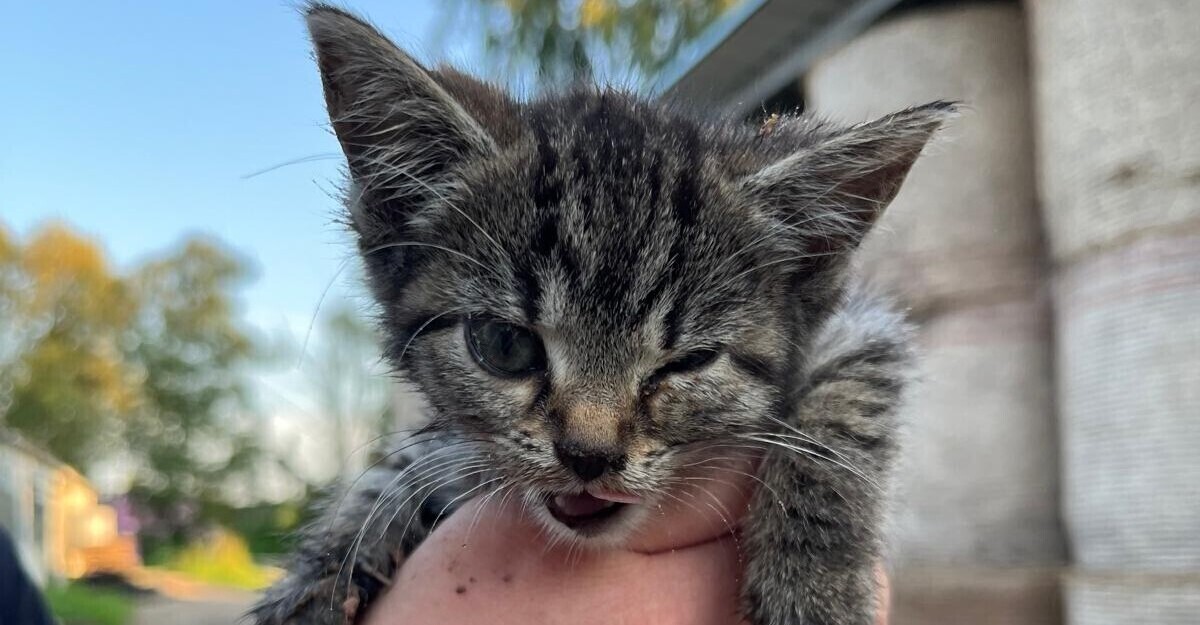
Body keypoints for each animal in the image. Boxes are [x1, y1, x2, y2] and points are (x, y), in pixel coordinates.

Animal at [255, 4, 955, 623]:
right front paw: (325, 564)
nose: (589, 456)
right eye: (504, 345)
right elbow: (409, 458)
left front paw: (813, 588)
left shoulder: (855, 326)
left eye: (692, 360)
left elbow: (847, 410)